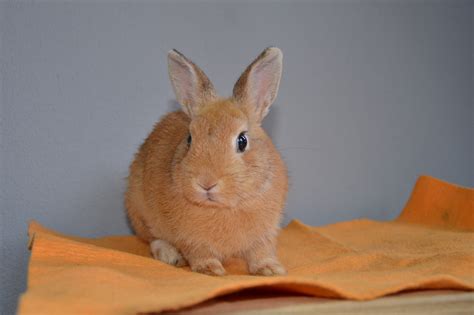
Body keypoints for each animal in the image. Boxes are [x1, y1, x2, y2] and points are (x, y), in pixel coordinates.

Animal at [125, 47, 288, 276]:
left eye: (242, 140)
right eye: (189, 138)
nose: (206, 183)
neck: (223, 207)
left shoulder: (265, 234)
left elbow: (261, 251)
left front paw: (270, 269)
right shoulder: (189, 238)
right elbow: (199, 251)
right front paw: (210, 269)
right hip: (138, 210)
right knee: (152, 238)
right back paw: (170, 255)